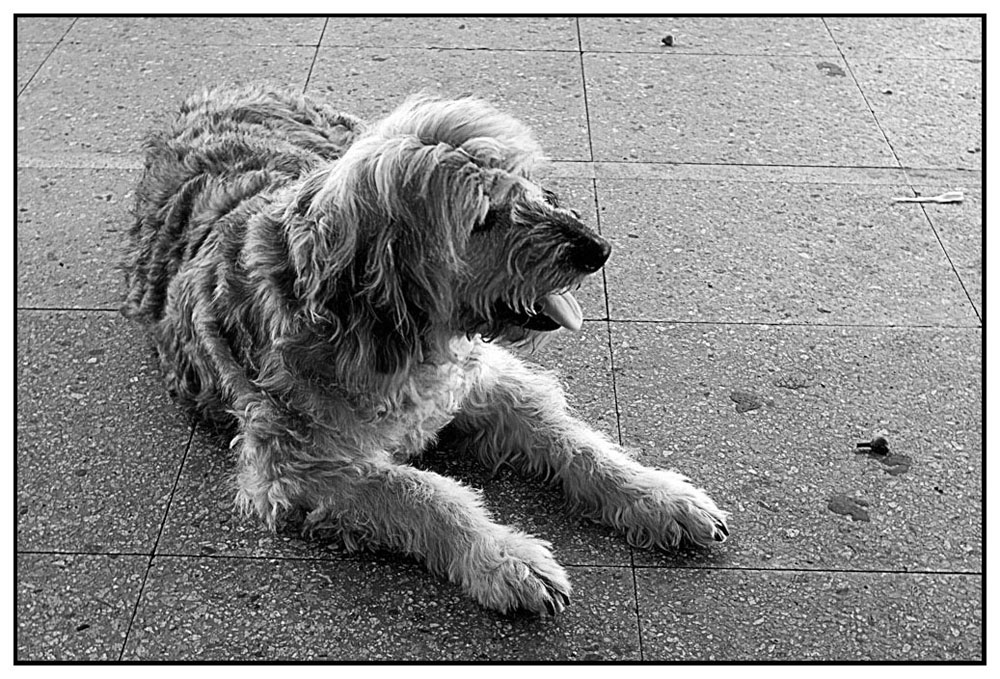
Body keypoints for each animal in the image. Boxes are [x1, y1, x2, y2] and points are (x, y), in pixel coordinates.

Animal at [125, 86, 732, 616]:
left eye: (527, 183)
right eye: (483, 216)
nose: (597, 249)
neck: (385, 336)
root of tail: (219, 91)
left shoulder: (486, 383)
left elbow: (572, 439)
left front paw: (656, 495)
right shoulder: (298, 468)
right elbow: (423, 492)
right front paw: (503, 558)